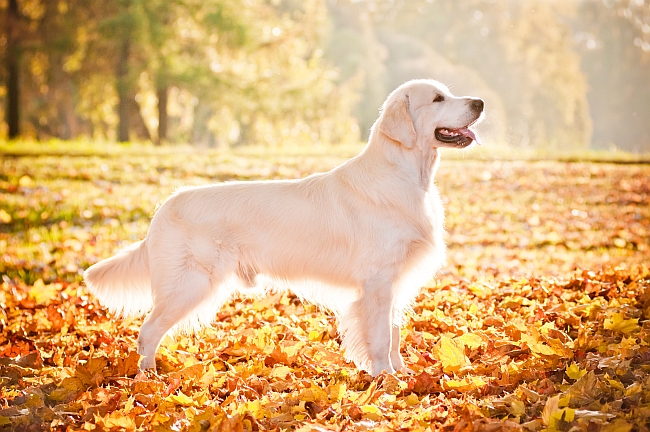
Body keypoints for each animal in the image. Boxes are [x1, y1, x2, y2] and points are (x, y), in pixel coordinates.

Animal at [83, 79, 480, 376]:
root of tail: (163, 209)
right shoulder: (378, 282)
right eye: (438, 99)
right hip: (189, 284)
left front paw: (402, 375)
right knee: (147, 331)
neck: (406, 176)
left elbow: (395, 334)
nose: (480, 101)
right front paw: (384, 379)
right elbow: (381, 338)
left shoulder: (395, 282)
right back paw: (148, 380)